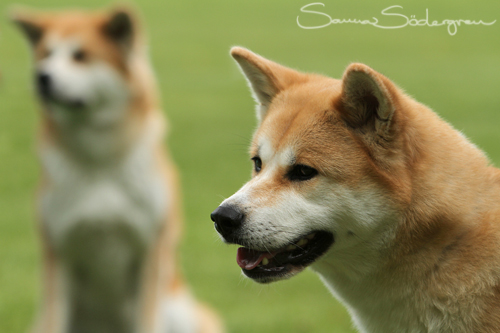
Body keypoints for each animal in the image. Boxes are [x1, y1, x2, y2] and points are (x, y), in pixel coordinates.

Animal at [12, 5, 223, 332]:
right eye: (46, 54)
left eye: (81, 56)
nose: (41, 77)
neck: (100, 162)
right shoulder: (58, 253)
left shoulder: (148, 253)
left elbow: (146, 321)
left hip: (183, 313)